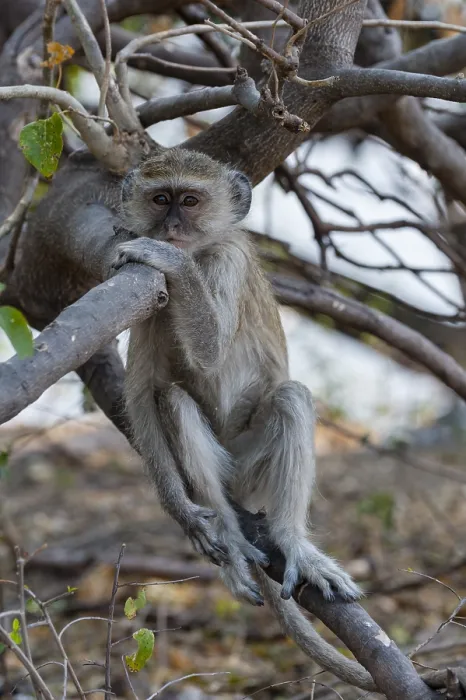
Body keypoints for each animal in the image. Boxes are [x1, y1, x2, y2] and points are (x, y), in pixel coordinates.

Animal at [111, 147, 362, 611]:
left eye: (190, 201)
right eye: (161, 199)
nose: (171, 228)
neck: (202, 252)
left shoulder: (229, 260)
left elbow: (210, 351)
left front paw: (168, 256)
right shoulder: (147, 295)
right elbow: (138, 396)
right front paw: (184, 514)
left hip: (249, 467)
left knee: (291, 398)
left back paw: (292, 541)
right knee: (172, 400)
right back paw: (227, 530)